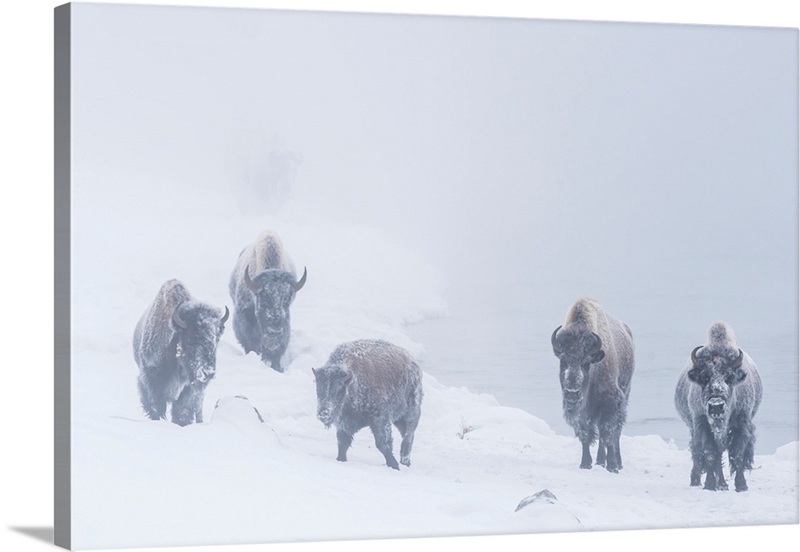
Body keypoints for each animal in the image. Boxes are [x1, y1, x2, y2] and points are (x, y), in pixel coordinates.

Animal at [133, 279, 228, 426]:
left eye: (216, 339)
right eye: (190, 340)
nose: (208, 373)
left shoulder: (189, 387)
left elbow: (183, 409)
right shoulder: (150, 376)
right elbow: (155, 405)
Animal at [313, 339, 423, 470]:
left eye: (338, 391)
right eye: (318, 390)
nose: (323, 414)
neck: (353, 381)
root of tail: (412, 362)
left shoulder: (380, 419)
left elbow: (382, 444)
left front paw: (394, 466)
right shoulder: (344, 423)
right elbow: (342, 443)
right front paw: (340, 459)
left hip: (411, 412)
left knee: (408, 435)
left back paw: (404, 461)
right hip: (399, 419)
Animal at [551, 298, 635, 473]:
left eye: (586, 362)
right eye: (563, 360)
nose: (572, 392)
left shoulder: (610, 404)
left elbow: (607, 434)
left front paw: (612, 466)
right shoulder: (582, 414)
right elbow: (586, 436)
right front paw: (585, 463)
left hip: (624, 396)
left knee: (616, 433)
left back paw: (617, 462)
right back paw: (600, 461)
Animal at [674, 322, 762, 491]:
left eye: (729, 377)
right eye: (704, 378)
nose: (716, 406)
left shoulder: (741, 424)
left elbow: (737, 454)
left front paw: (741, 485)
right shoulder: (702, 424)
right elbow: (710, 454)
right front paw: (709, 485)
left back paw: (722, 484)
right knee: (699, 453)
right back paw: (701, 482)